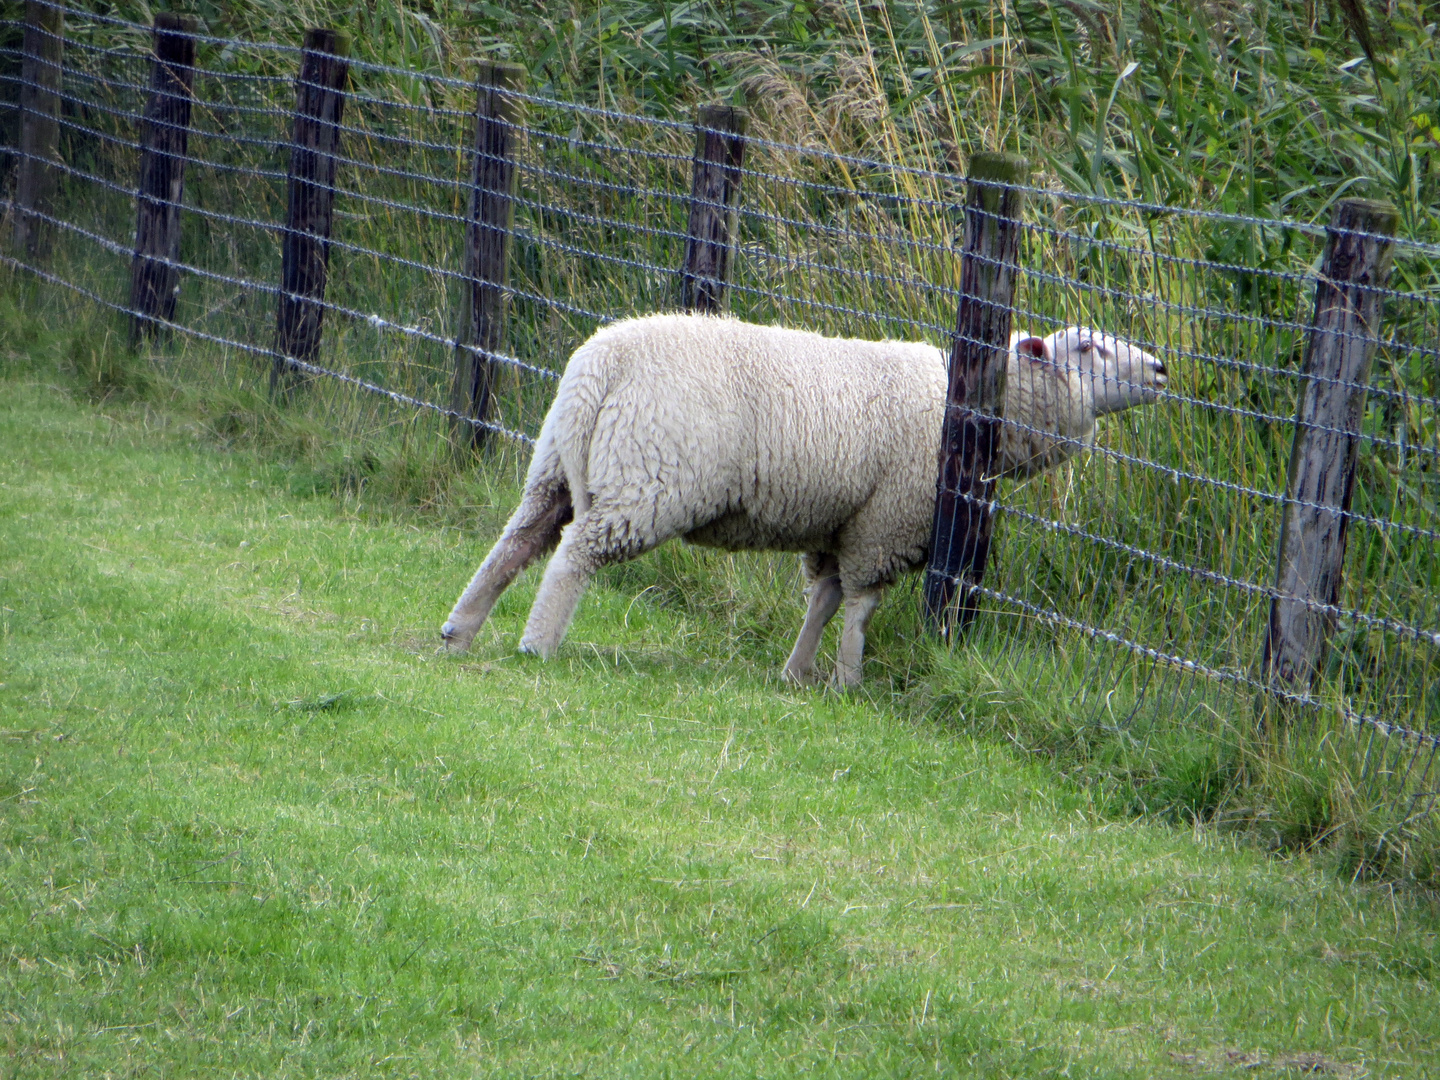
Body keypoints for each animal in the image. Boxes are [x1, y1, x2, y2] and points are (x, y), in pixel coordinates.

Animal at [440, 312, 1169, 685]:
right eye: (1089, 347)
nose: (1163, 369)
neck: (986, 416)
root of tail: (599, 366)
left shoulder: (844, 521)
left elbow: (824, 596)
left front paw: (797, 672)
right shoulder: (886, 523)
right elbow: (861, 606)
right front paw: (848, 680)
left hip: (558, 468)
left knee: (518, 540)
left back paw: (460, 628)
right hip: (648, 480)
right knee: (573, 558)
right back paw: (537, 644)